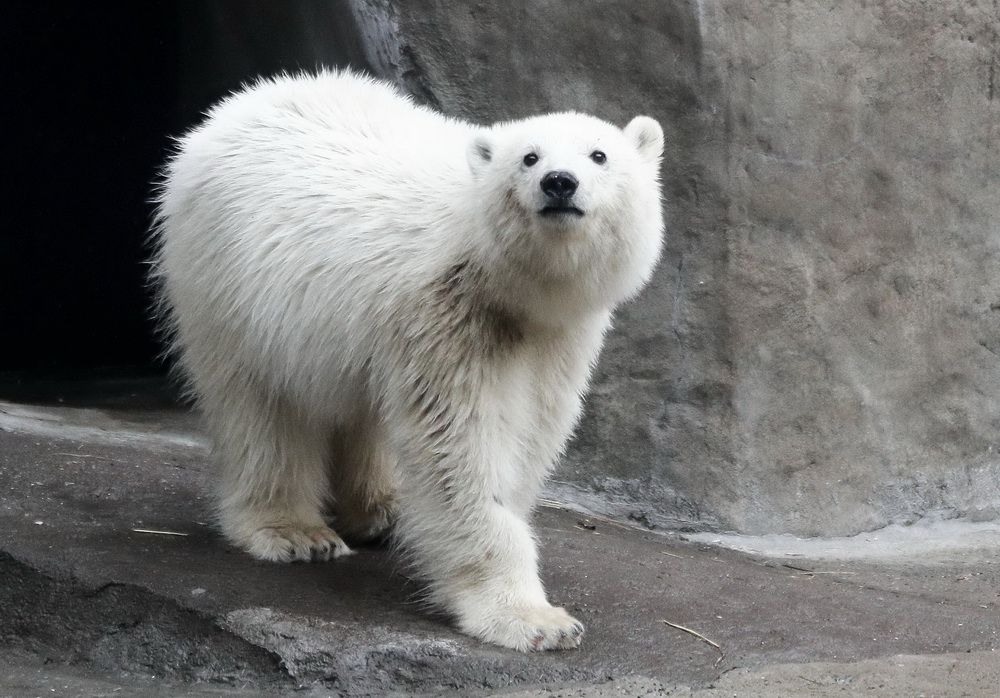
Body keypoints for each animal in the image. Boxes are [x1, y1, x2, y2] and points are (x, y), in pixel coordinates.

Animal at [152, 70, 664, 652]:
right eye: (529, 158)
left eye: (599, 155)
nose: (559, 182)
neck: (502, 278)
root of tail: (237, 105)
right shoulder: (448, 313)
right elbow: (462, 445)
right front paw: (535, 620)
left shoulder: (556, 336)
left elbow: (530, 431)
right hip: (229, 280)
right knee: (260, 406)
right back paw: (295, 531)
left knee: (362, 410)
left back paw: (384, 511)